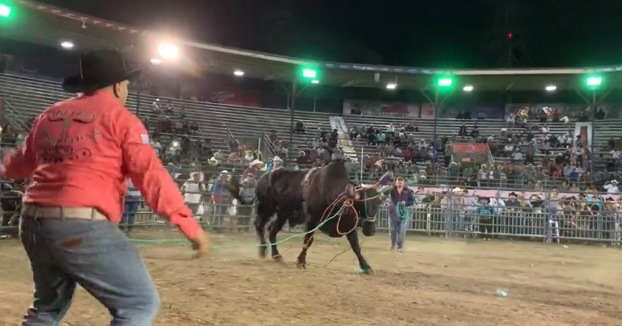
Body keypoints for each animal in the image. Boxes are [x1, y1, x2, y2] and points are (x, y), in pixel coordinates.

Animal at [232, 161, 382, 272]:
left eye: (377, 204)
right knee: (259, 226)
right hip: (267, 208)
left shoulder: (349, 225)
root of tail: (263, 177)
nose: (371, 230)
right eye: (362, 202)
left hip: (283, 213)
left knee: (272, 231)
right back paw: (263, 250)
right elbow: (308, 240)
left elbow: (356, 246)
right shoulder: (312, 220)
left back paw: (276, 255)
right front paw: (301, 261)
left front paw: (366, 266)